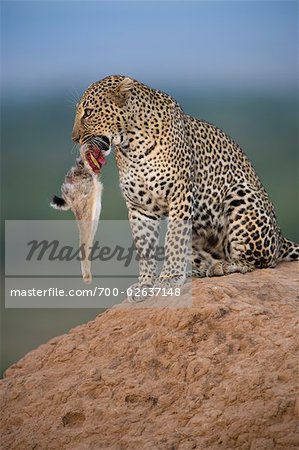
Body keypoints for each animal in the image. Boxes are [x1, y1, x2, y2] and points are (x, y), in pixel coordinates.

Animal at [71, 75, 299, 302]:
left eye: (88, 112)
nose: (74, 138)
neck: (131, 145)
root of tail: (281, 238)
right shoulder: (140, 207)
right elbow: (144, 246)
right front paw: (145, 284)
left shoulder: (179, 194)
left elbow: (174, 239)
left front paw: (169, 278)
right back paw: (197, 272)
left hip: (241, 195)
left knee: (261, 262)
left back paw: (225, 266)